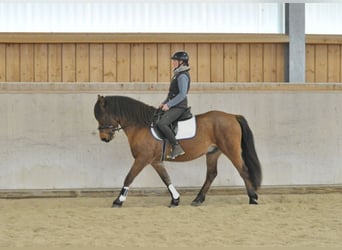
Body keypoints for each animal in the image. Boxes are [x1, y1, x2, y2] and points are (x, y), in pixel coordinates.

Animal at [93, 94, 262, 207]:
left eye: (102, 116)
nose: (104, 138)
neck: (141, 125)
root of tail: (232, 116)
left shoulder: (142, 159)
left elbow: (128, 178)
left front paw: (118, 201)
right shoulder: (155, 161)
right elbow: (166, 178)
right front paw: (175, 199)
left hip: (231, 150)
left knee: (243, 170)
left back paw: (253, 198)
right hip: (213, 152)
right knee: (211, 174)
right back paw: (197, 200)